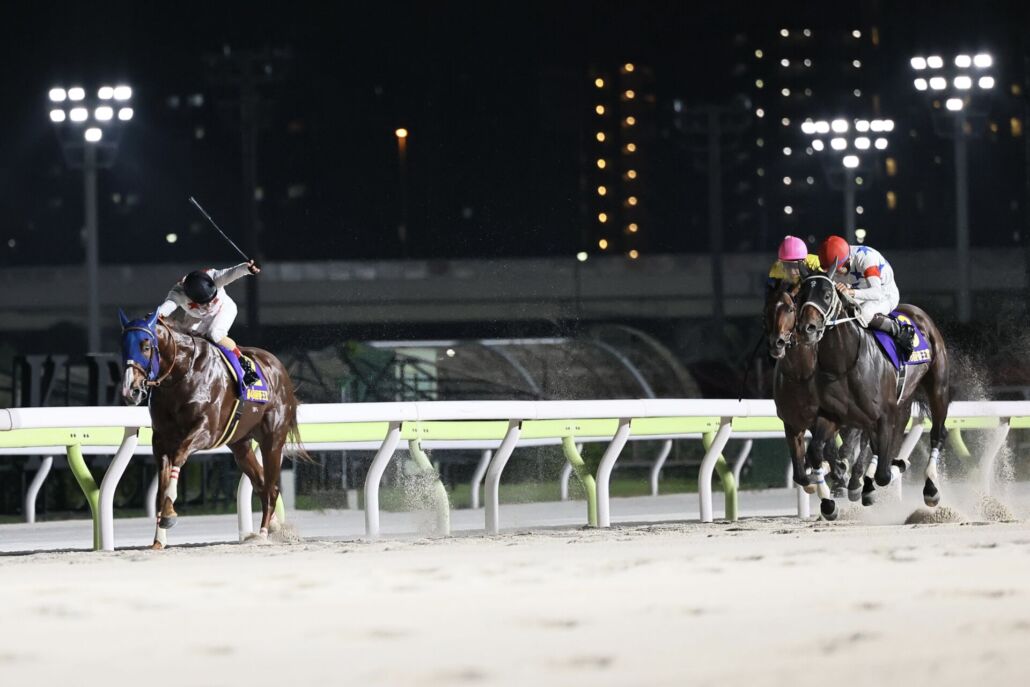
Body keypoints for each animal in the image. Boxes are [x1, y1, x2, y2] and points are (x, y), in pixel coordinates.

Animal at [119, 310, 310, 549]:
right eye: (123, 346)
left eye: (146, 346)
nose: (131, 390)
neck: (183, 373)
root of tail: (279, 369)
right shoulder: (160, 440)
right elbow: (161, 484)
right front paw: (158, 539)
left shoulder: (206, 431)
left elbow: (179, 457)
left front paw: (170, 514)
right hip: (240, 446)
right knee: (261, 484)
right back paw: (273, 526)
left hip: (272, 441)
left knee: (271, 488)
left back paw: (263, 533)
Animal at [793, 274, 949, 517]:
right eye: (801, 295)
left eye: (827, 295)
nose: (807, 328)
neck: (845, 361)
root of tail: (919, 314)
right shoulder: (834, 414)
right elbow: (818, 451)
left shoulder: (883, 414)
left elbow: (884, 474)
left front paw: (896, 467)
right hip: (901, 403)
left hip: (937, 388)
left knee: (937, 433)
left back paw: (930, 488)